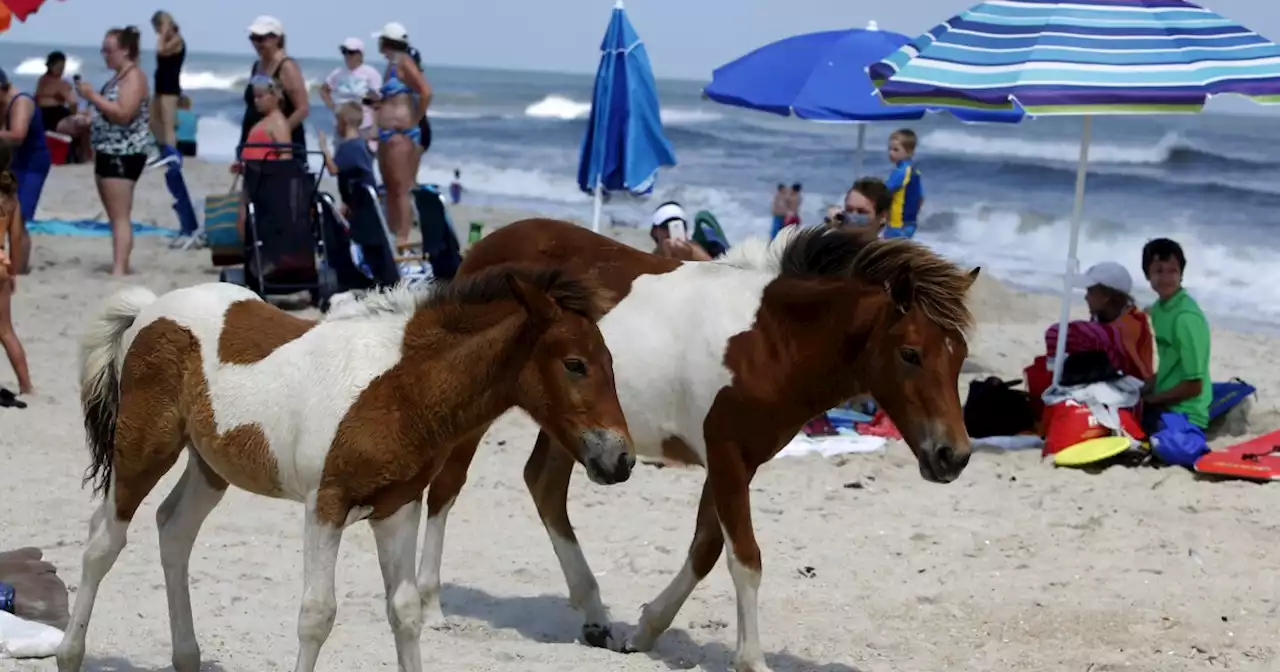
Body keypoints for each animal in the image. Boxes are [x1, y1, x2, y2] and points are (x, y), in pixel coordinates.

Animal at [56, 267, 634, 670]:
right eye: (574, 364)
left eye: (612, 363)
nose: (621, 458)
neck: (399, 387)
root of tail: (150, 309)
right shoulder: (325, 506)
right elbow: (317, 615)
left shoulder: (398, 508)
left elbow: (405, 613)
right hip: (143, 450)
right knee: (103, 541)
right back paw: (69, 654)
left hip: (210, 467)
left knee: (173, 530)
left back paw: (187, 658)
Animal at [419, 220, 977, 670]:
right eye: (910, 353)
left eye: (959, 356)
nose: (953, 456)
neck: (771, 341)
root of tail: (485, 248)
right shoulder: (727, 455)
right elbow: (745, 558)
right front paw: (751, 660)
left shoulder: (736, 462)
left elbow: (707, 549)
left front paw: (644, 631)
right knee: (446, 487)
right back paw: (429, 605)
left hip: (571, 427)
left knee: (544, 486)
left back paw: (596, 616)